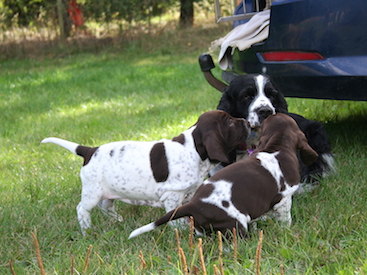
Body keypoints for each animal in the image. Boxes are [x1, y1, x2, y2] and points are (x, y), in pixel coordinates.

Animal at [41, 111, 252, 236]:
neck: (193, 150)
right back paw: (86, 230)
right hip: (92, 191)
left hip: (108, 192)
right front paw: (179, 229)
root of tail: (89, 151)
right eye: (230, 122)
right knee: (82, 209)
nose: (247, 121)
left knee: (106, 206)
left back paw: (118, 220)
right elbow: (173, 214)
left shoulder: (189, 191)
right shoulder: (171, 195)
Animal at [129, 114, 320, 239]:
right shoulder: (285, 198)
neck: (277, 145)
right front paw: (286, 229)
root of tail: (194, 204)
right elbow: (286, 218)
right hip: (236, 223)